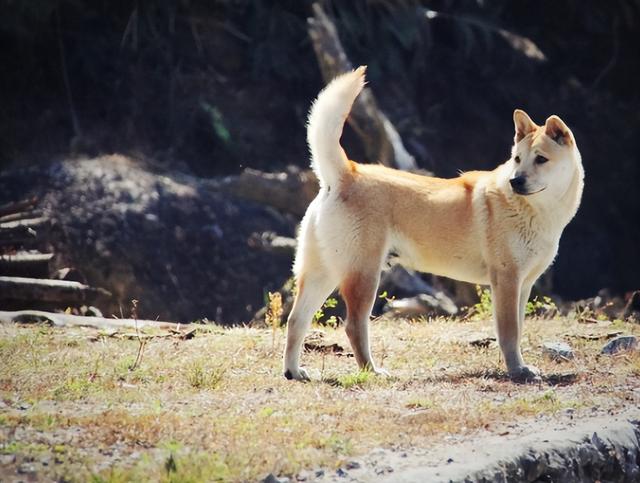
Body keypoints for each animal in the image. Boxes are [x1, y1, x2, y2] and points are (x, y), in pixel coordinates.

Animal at [282, 66, 584, 382]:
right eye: (517, 159)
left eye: (541, 159)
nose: (516, 181)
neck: (536, 212)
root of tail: (346, 173)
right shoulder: (506, 280)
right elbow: (509, 333)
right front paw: (518, 370)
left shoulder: (523, 285)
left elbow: (518, 330)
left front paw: (516, 365)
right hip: (364, 275)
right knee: (353, 326)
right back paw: (372, 370)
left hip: (322, 274)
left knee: (296, 320)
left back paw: (295, 372)